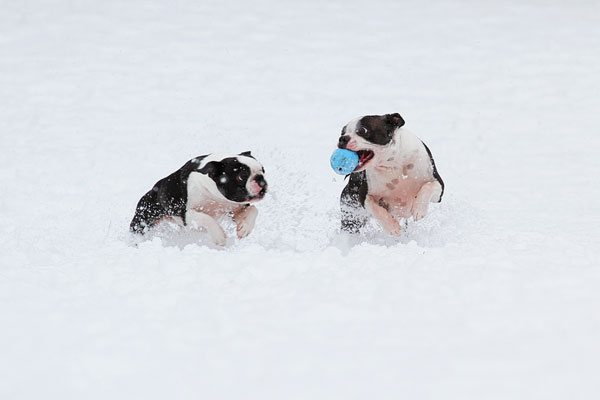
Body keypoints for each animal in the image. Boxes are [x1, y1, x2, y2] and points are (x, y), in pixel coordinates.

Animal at [131, 152, 268, 245]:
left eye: (263, 170)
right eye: (242, 176)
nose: (260, 179)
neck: (216, 198)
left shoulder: (235, 208)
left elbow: (254, 210)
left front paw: (245, 228)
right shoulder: (187, 215)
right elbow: (205, 218)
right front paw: (219, 236)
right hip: (143, 219)